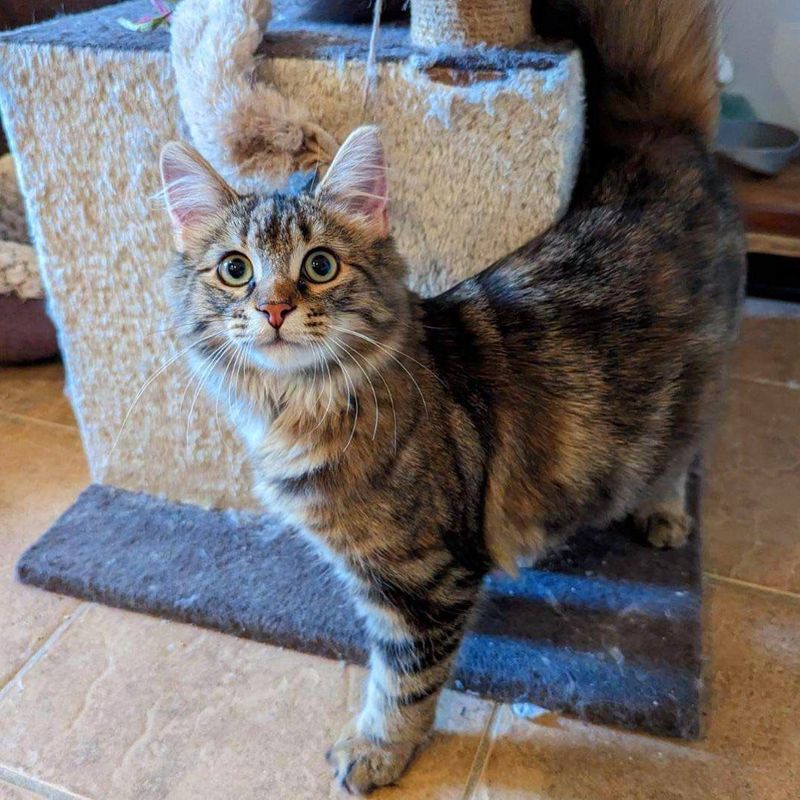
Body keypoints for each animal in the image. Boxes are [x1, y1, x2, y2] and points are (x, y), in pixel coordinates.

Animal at [159, 0, 748, 792]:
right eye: (235, 269)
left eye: (319, 266)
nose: (275, 308)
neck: (297, 409)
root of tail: (661, 139)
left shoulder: (422, 580)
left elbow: (403, 681)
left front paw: (377, 750)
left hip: (693, 385)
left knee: (681, 452)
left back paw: (661, 511)